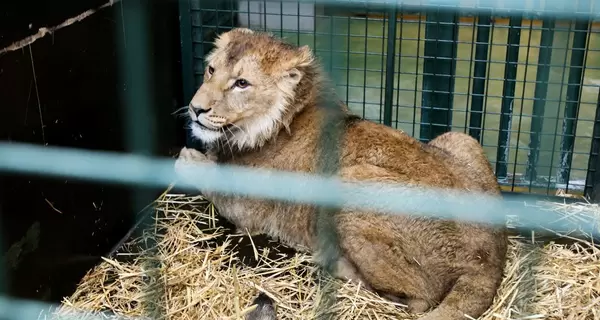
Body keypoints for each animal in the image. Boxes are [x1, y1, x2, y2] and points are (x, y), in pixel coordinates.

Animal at [176, 28, 508, 320]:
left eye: (242, 83)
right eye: (211, 70)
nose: (195, 109)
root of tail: (489, 258)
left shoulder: (250, 214)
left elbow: (209, 177)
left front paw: (188, 157)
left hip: (350, 182)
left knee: (416, 300)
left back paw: (334, 263)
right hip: (460, 139)